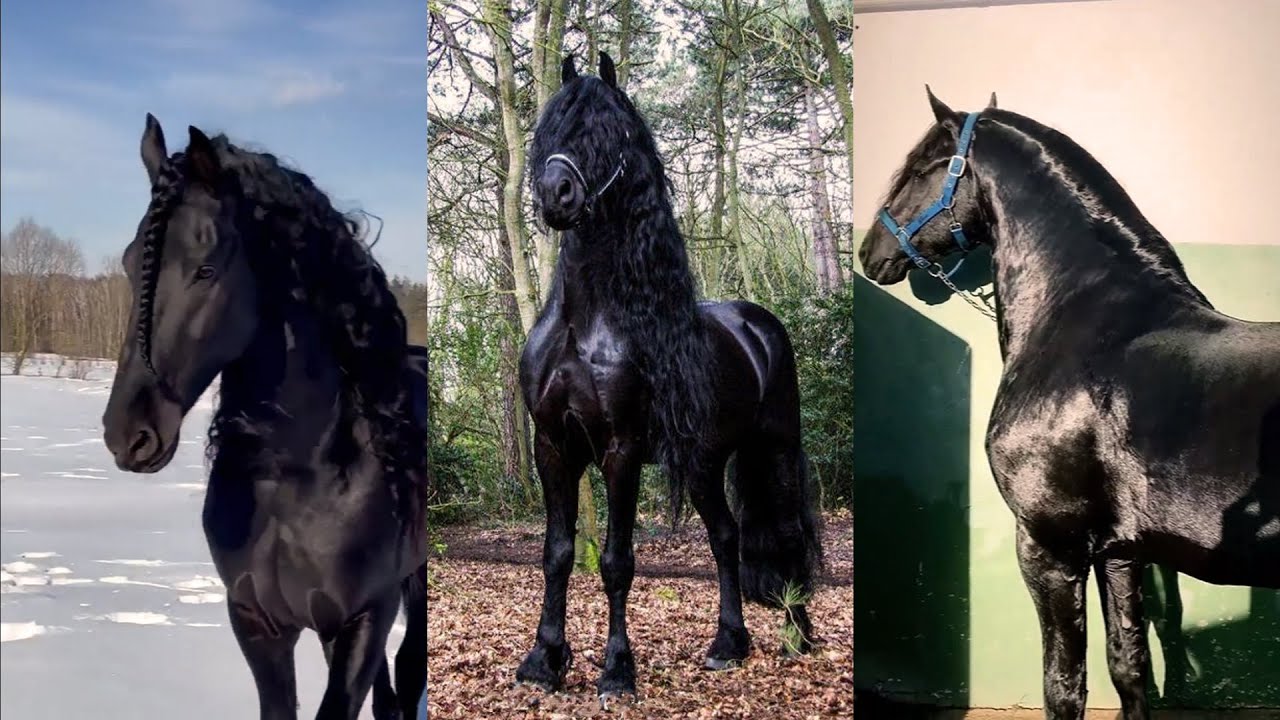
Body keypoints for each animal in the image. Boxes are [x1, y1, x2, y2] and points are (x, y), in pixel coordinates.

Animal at [101, 115, 428, 720]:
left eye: (206, 269)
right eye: (132, 263)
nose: (128, 434)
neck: (298, 474)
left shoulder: (364, 619)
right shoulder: (260, 625)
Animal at [514, 51, 824, 702]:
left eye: (613, 133)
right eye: (553, 128)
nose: (557, 193)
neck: (587, 323)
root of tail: (757, 323)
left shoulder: (621, 450)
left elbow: (616, 562)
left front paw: (616, 671)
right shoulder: (552, 445)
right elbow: (557, 553)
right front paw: (544, 660)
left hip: (775, 446)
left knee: (786, 532)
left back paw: (797, 635)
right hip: (704, 463)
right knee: (727, 537)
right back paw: (729, 643)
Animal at [859, 87, 1280, 719]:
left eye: (919, 168)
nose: (869, 252)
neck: (1085, 325)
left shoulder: (1050, 543)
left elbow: (1064, 684)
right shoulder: (1120, 551)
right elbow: (1129, 666)